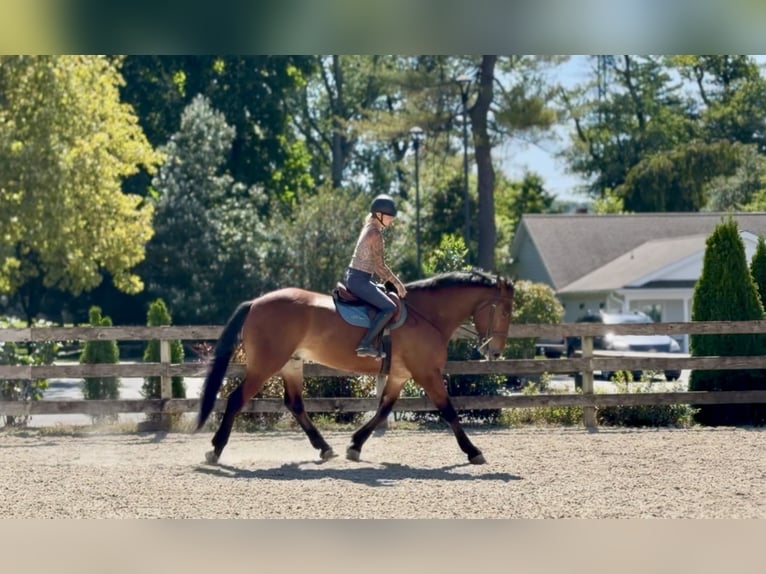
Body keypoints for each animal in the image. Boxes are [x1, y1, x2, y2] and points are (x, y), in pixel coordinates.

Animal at [195, 269, 514, 465]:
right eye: (505, 310)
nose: (496, 351)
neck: (426, 316)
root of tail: (256, 302)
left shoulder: (400, 375)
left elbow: (383, 409)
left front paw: (355, 445)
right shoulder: (427, 374)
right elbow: (449, 411)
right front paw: (473, 451)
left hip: (291, 365)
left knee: (295, 404)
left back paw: (325, 448)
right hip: (265, 366)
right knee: (236, 399)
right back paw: (215, 449)